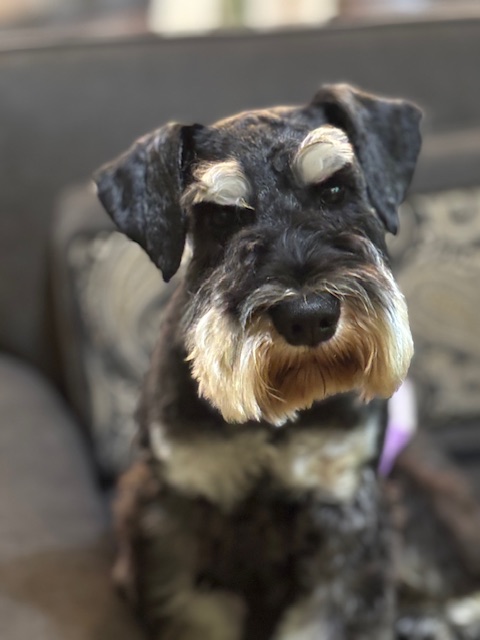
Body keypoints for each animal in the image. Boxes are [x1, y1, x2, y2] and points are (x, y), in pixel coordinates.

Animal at [94, 84, 480, 639]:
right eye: (223, 216)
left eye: (335, 191)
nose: (309, 317)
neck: (280, 416)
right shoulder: (173, 511)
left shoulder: (347, 511)